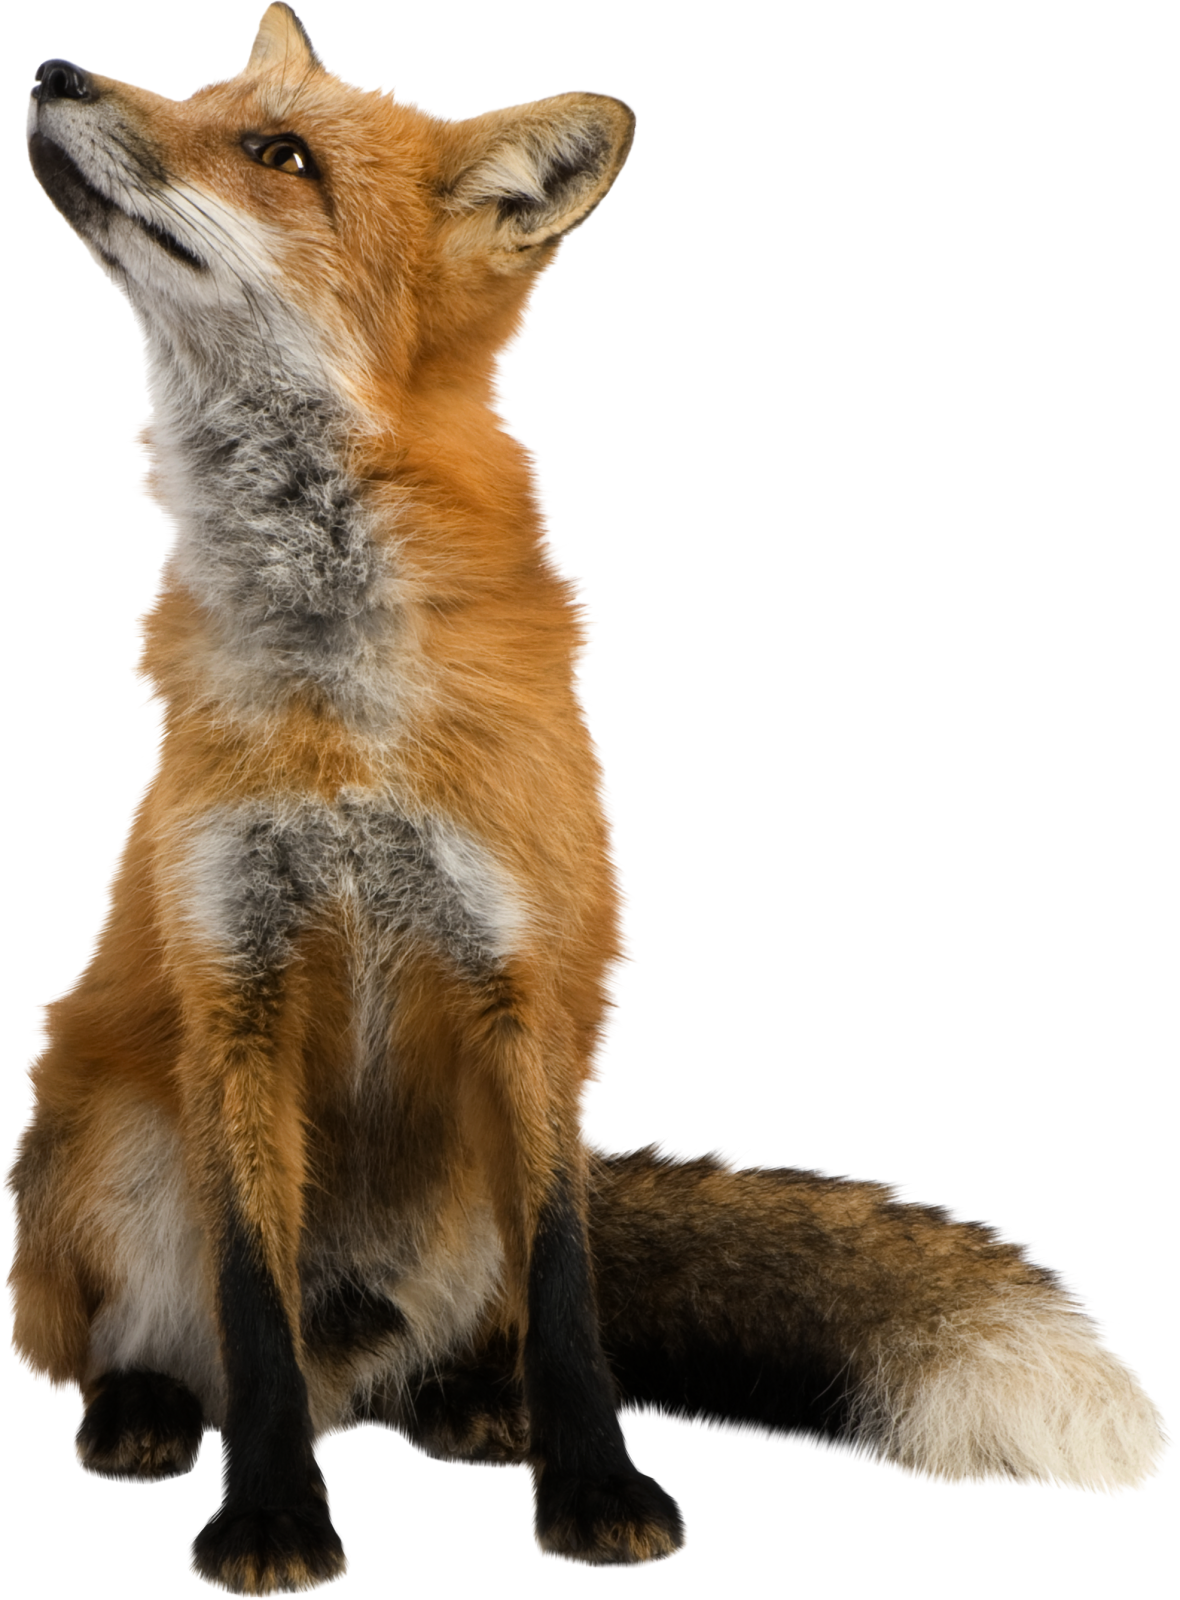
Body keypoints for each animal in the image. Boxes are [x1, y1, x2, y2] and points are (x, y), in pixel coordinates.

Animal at [8, 4, 1172, 1594]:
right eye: (201, 95)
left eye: (276, 151)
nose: (56, 70)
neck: (344, 699)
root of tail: (363, 1362)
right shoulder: (233, 987)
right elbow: (251, 1303)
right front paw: (272, 1519)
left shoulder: (532, 994)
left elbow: (569, 1297)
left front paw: (597, 1492)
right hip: (102, 1137)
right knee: (181, 1350)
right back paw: (146, 1412)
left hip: (463, 1194)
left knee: (461, 1340)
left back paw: (470, 1407)